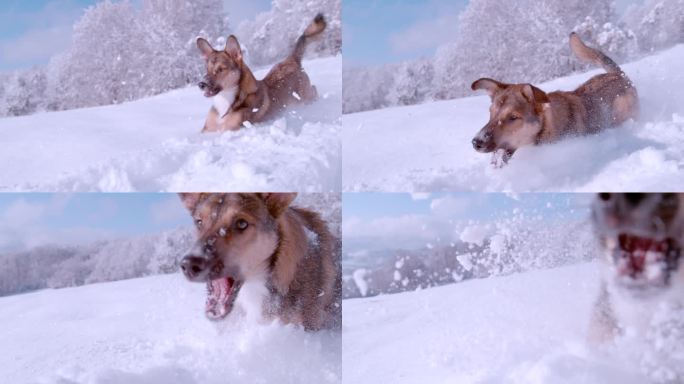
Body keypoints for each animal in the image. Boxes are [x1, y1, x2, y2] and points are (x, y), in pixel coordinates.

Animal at [196, 13, 328, 132]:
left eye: (220, 69)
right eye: (206, 69)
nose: (201, 84)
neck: (226, 98)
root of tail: (291, 60)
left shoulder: (231, 128)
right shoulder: (206, 130)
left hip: (305, 97)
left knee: (314, 89)